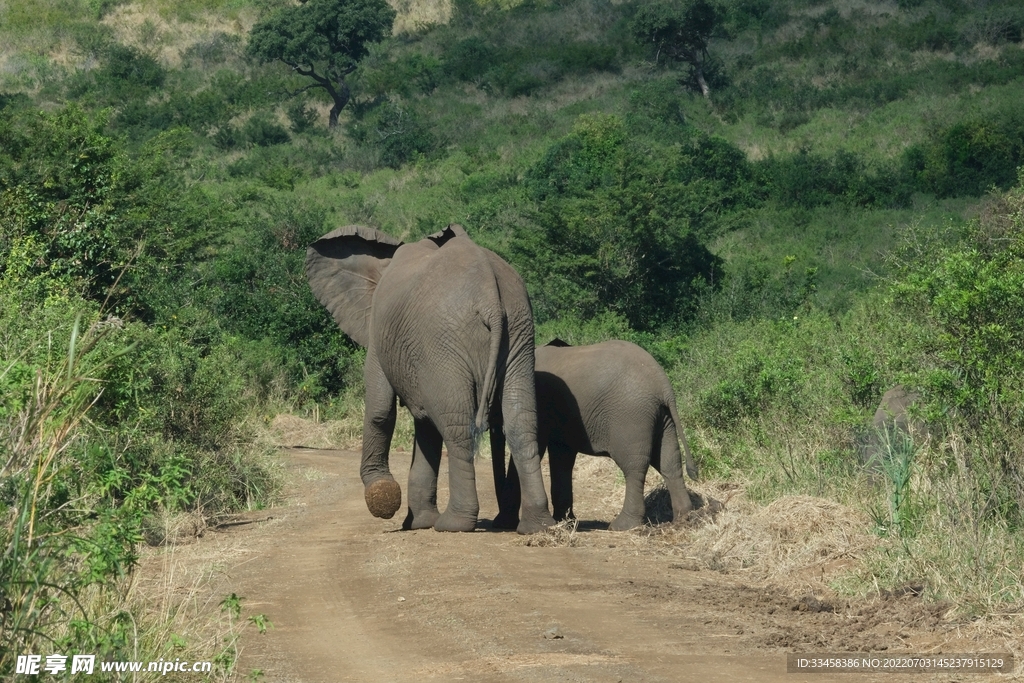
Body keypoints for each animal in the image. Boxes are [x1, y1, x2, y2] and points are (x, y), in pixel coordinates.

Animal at [307, 224, 557, 532]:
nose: (503, 519)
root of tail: (489, 295)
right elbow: (425, 425)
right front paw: (418, 522)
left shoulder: (381, 333)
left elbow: (380, 411)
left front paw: (384, 497)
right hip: (519, 334)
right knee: (521, 422)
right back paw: (538, 525)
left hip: (444, 341)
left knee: (457, 425)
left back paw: (453, 523)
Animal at [491, 339, 700, 532]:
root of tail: (663, 385)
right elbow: (562, 458)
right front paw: (566, 522)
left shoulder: (539, 406)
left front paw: (503, 523)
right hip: (663, 417)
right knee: (669, 462)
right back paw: (683, 519)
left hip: (633, 418)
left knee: (634, 467)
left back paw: (622, 526)